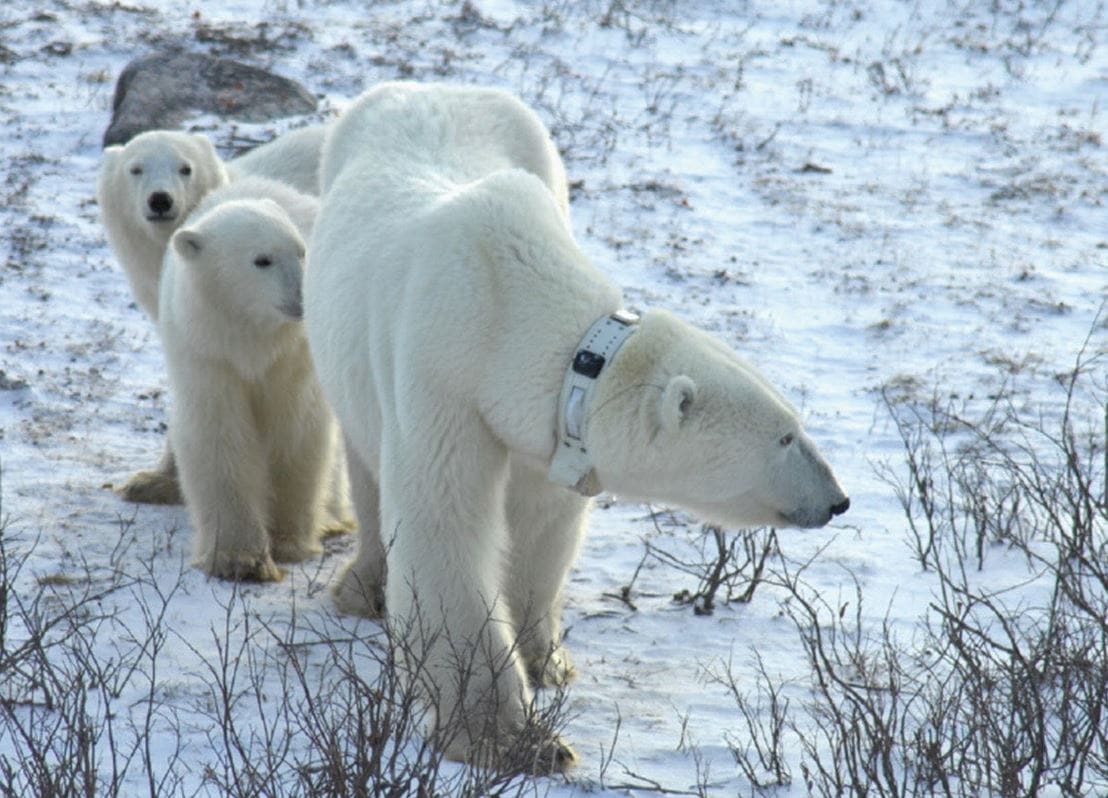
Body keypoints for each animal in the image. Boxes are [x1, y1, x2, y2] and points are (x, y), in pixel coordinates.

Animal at [159, 175, 339, 581]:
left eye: (301, 251)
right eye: (262, 260)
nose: (303, 297)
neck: (251, 340)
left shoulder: (293, 361)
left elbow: (296, 431)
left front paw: (289, 541)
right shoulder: (208, 356)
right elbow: (220, 439)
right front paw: (238, 558)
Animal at [304, 82, 849, 772]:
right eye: (784, 435)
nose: (837, 499)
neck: (507, 309)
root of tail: (425, 86)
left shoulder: (549, 432)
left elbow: (542, 525)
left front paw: (547, 660)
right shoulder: (439, 375)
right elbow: (444, 530)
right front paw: (515, 739)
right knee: (367, 461)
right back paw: (365, 587)